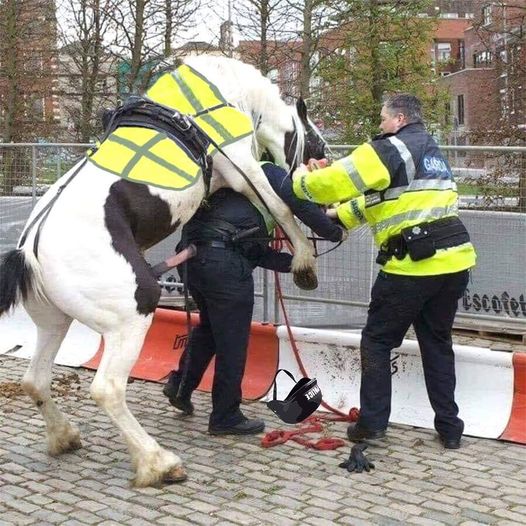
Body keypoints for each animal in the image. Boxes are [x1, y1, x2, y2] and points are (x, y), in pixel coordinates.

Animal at [0, 55, 328, 488]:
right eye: (316, 140)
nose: (327, 159)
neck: (224, 92)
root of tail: (29, 252)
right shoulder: (243, 169)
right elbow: (280, 208)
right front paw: (305, 261)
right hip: (132, 316)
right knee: (107, 389)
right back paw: (157, 462)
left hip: (56, 322)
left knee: (35, 380)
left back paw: (65, 436)